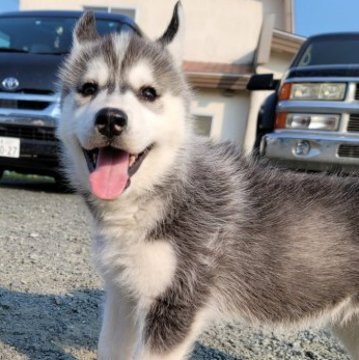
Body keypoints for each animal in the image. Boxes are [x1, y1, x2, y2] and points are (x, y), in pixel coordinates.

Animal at [56, 3, 359, 360]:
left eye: (148, 93)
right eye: (89, 88)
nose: (111, 119)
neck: (163, 189)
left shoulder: (175, 304)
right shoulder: (123, 293)